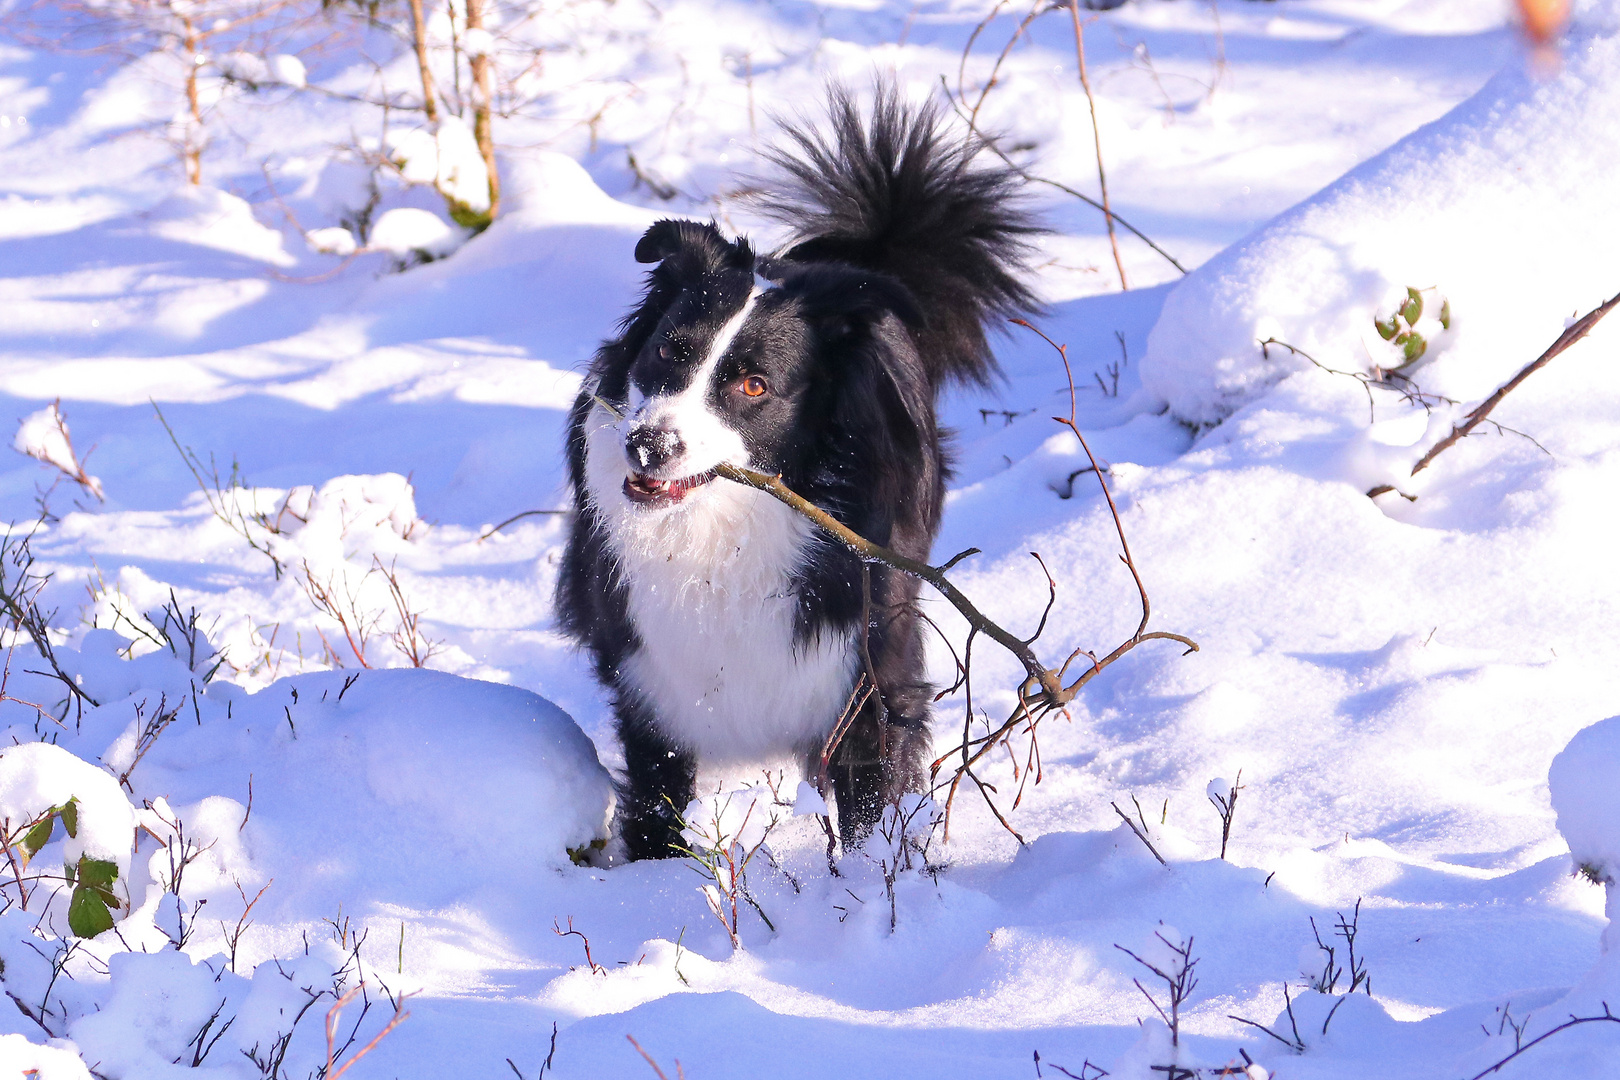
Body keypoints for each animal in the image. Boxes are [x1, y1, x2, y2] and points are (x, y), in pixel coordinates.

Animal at [557, 86, 1036, 861]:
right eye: (666, 352)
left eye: (754, 386)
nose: (647, 447)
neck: (724, 535)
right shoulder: (652, 683)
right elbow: (658, 798)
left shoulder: (866, 670)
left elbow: (872, 791)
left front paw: (874, 878)